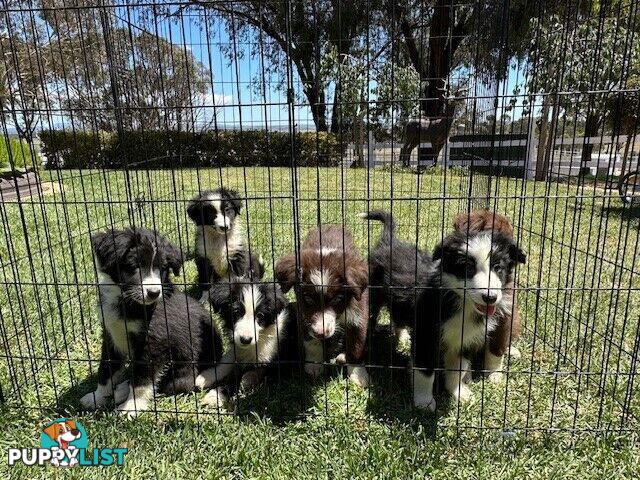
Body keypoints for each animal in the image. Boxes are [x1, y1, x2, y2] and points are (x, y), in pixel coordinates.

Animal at [80, 229, 222, 416]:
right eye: (135, 266)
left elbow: (142, 380)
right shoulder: (111, 335)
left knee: (165, 383)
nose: (153, 293)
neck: (127, 302)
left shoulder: (153, 344)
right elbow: (106, 370)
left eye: (162, 268)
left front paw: (131, 407)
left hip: (184, 374)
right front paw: (96, 398)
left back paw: (121, 393)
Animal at [276, 224, 370, 386]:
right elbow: (311, 342)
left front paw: (357, 375)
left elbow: (356, 345)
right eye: (308, 299)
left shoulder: (358, 313)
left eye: (337, 299)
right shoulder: (303, 314)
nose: (321, 332)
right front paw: (314, 365)